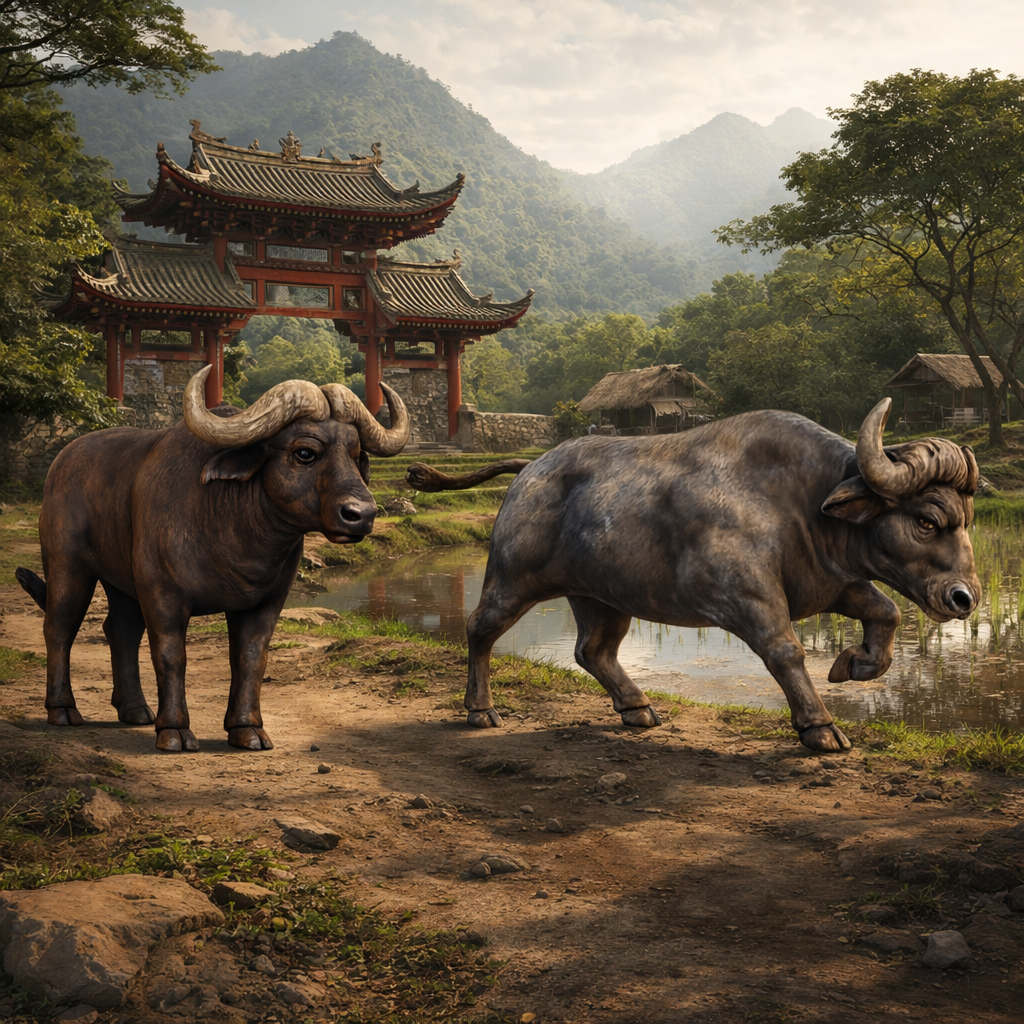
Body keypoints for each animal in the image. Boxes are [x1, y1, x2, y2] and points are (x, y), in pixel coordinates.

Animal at [17, 367, 409, 752]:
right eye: (305, 453)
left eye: (355, 454)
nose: (362, 514)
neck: (234, 529)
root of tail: (61, 462)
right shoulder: (162, 593)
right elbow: (171, 655)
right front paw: (174, 730)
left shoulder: (268, 600)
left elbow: (250, 657)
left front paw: (248, 729)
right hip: (67, 565)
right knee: (59, 627)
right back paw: (63, 710)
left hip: (121, 581)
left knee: (121, 629)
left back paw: (135, 710)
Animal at [407, 399, 980, 752]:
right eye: (926, 520)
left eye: (967, 519)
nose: (965, 598)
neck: (801, 503)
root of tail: (529, 470)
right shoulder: (748, 600)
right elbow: (786, 652)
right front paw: (819, 727)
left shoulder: (831, 583)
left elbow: (887, 613)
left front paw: (851, 665)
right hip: (512, 579)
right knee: (480, 628)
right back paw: (480, 710)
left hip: (601, 597)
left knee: (592, 651)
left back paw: (638, 708)